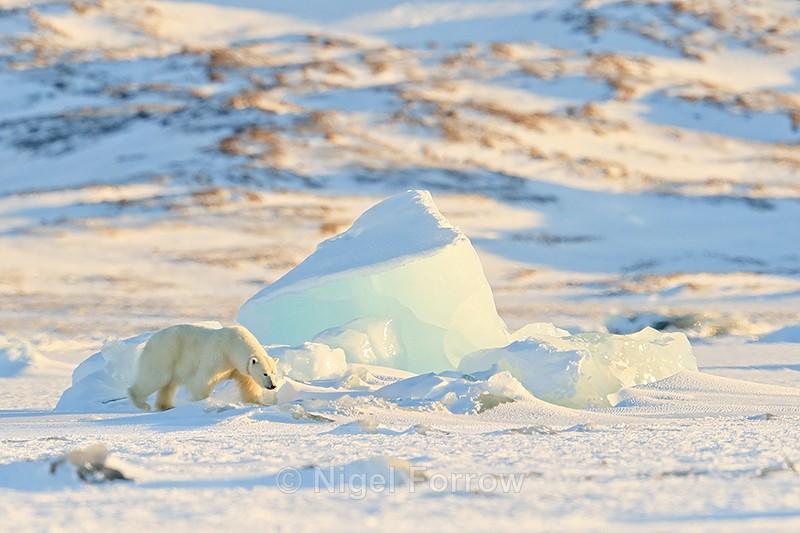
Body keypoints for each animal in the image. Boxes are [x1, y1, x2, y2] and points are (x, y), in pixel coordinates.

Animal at [127, 324, 278, 411]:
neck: (234, 344)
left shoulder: (240, 367)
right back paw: (141, 403)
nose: (273, 386)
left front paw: (260, 403)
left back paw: (166, 406)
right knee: (156, 377)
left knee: (169, 384)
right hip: (165, 352)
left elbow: (249, 384)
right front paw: (202, 400)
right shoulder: (219, 354)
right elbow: (205, 378)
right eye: (265, 373)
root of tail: (150, 340)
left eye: (274, 373)